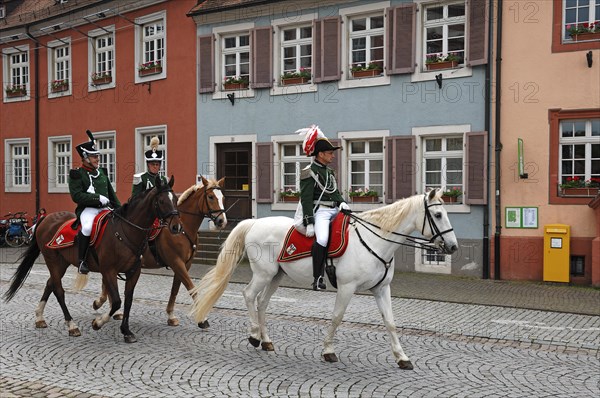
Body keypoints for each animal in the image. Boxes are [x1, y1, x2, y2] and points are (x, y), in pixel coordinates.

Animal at [3, 176, 182, 344]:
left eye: (175, 199)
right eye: (162, 201)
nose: (176, 227)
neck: (126, 230)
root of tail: (46, 219)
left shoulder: (133, 271)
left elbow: (128, 301)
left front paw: (126, 331)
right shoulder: (109, 271)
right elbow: (116, 301)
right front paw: (98, 322)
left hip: (62, 263)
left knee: (49, 284)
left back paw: (40, 317)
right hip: (52, 260)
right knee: (59, 290)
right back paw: (72, 325)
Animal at [92, 176, 226, 326]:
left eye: (223, 197)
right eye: (211, 197)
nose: (222, 221)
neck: (183, 228)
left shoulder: (185, 264)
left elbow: (175, 289)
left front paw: (171, 315)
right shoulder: (176, 262)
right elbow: (191, 287)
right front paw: (203, 319)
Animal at [190, 188, 458, 368]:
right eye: (437, 214)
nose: (453, 247)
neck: (374, 240)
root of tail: (254, 223)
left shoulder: (382, 289)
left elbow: (391, 322)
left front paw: (402, 357)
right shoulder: (347, 287)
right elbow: (337, 317)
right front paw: (328, 350)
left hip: (276, 276)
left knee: (262, 303)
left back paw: (266, 341)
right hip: (263, 274)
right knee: (248, 295)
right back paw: (254, 335)